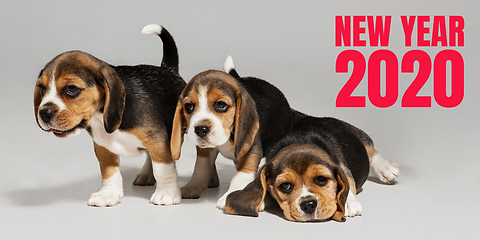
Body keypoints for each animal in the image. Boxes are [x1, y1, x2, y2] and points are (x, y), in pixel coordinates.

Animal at [33, 24, 186, 208]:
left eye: (72, 89)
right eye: (42, 88)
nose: (44, 113)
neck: (99, 117)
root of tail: (167, 68)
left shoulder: (158, 141)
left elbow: (163, 168)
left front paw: (167, 194)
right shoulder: (103, 147)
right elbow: (109, 172)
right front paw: (107, 194)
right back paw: (146, 175)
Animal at [172, 56, 292, 210]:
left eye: (221, 105)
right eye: (189, 106)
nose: (200, 129)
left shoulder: (252, 150)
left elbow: (241, 174)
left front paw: (232, 195)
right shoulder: (206, 150)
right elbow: (200, 167)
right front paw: (193, 186)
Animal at [225, 110, 402, 221]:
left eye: (321, 179)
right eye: (285, 186)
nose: (308, 205)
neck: (298, 142)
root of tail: (313, 117)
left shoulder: (341, 165)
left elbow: (349, 182)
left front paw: (347, 202)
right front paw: (260, 199)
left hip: (359, 134)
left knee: (371, 150)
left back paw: (386, 168)